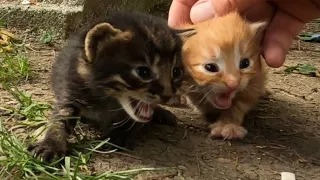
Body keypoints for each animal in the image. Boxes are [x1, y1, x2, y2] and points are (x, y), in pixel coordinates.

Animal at [28, 11, 195, 162]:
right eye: (143, 72)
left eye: (176, 72)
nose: (167, 95)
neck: (107, 99)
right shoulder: (70, 88)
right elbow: (61, 116)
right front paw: (51, 144)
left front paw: (120, 134)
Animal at [178, 11, 268, 140]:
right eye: (210, 67)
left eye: (245, 63)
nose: (234, 83)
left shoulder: (254, 81)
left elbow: (238, 106)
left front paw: (229, 125)